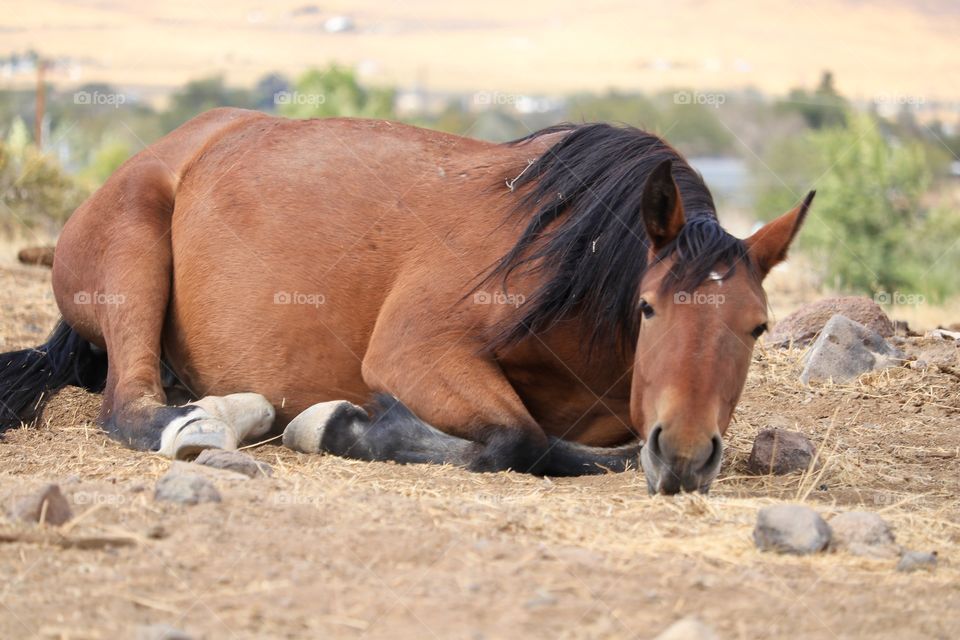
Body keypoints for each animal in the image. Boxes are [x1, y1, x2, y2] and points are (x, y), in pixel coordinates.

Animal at [0, 109, 812, 496]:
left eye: (757, 327)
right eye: (647, 308)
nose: (685, 454)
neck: (577, 262)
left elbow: (574, 450)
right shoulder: (415, 351)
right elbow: (517, 439)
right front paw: (340, 423)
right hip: (134, 256)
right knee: (127, 409)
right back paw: (216, 421)